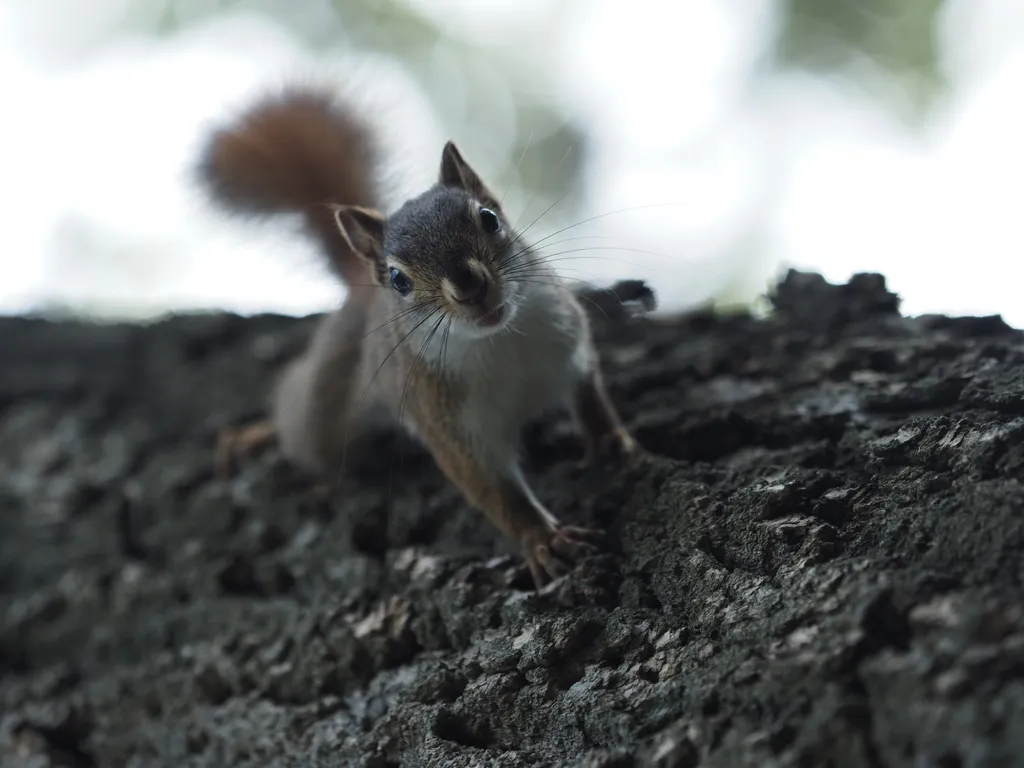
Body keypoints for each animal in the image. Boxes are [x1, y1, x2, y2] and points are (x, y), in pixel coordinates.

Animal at [195, 83, 643, 589]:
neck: (498, 344)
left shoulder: (569, 344)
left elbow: (591, 397)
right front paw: (543, 539)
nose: (469, 286)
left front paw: (610, 442)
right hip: (321, 412)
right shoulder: (446, 424)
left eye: (489, 218)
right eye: (399, 279)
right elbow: (492, 490)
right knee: (298, 416)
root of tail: (360, 289)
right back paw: (255, 434)